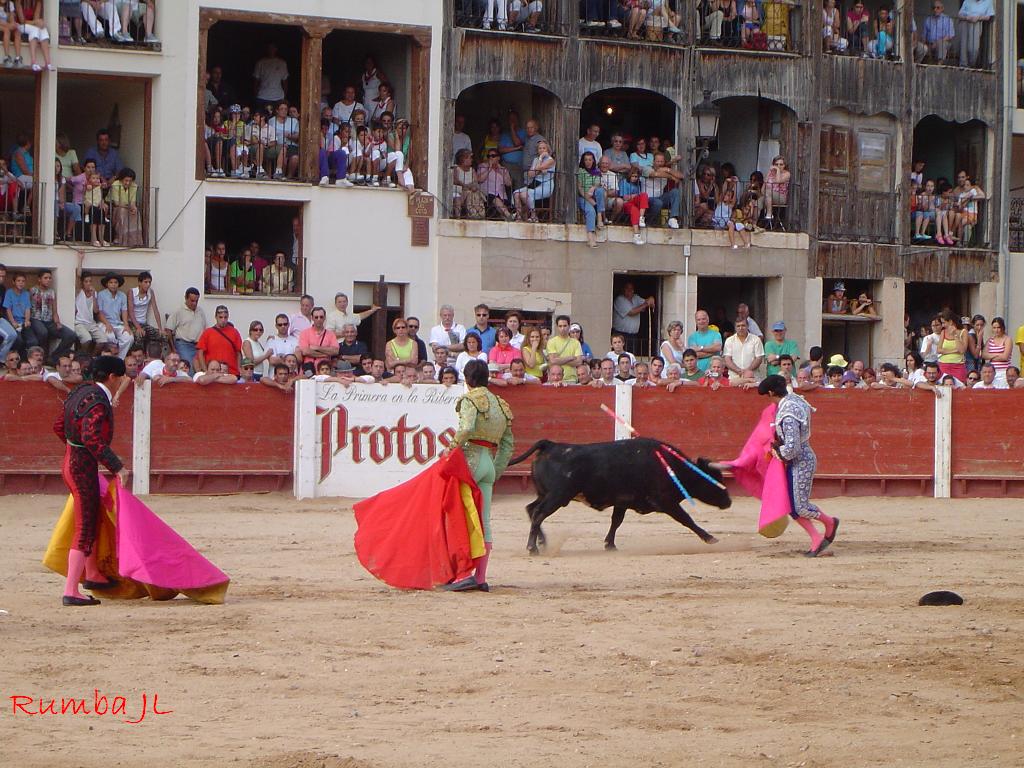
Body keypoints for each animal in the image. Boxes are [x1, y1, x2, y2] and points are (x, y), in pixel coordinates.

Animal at [507, 438, 733, 552]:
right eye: (715, 481)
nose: (728, 502)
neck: (672, 466)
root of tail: (551, 445)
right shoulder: (665, 502)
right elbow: (687, 519)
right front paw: (710, 538)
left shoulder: (622, 501)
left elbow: (616, 521)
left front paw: (610, 544)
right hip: (558, 496)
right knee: (538, 513)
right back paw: (532, 547)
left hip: (545, 493)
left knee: (531, 509)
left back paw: (543, 543)